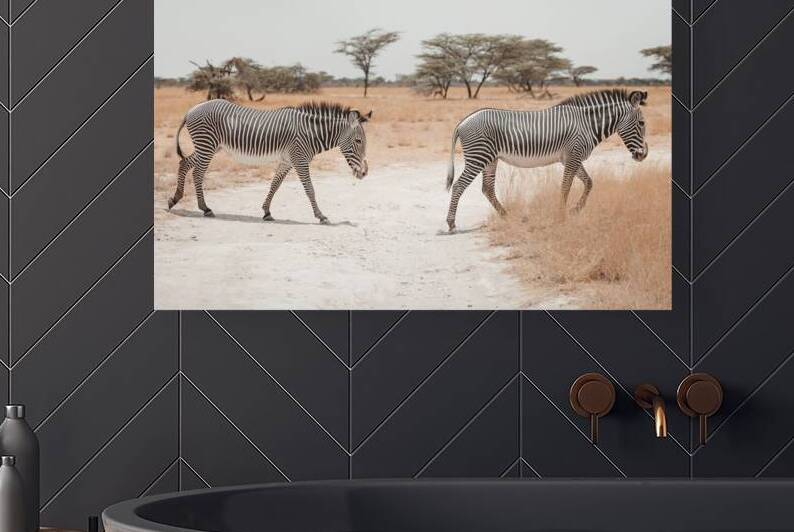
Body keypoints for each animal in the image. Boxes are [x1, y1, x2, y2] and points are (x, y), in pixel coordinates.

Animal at [169, 100, 371, 223]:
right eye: (358, 141)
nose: (364, 173)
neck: (310, 133)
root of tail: (192, 109)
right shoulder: (299, 159)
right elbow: (310, 188)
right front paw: (321, 216)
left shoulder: (287, 161)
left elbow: (275, 184)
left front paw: (266, 211)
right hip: (207, 145)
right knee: (197, 172)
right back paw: (205, 208)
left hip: (209, 147)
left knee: (184, 163)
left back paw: (175, 199)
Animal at [444, 89, 649, 232]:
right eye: (642, 123)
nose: (643, 155)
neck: (587, 125)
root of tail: (462, 122)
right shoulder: (573, 155)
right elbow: (566, 187)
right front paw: (561, 216)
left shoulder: (571, 158)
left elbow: (589, 183)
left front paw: (575, 210)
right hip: (478, 157)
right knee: (459, 186)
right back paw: (451, 223)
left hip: (490, 159)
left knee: (487, 188)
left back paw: (507, 216)